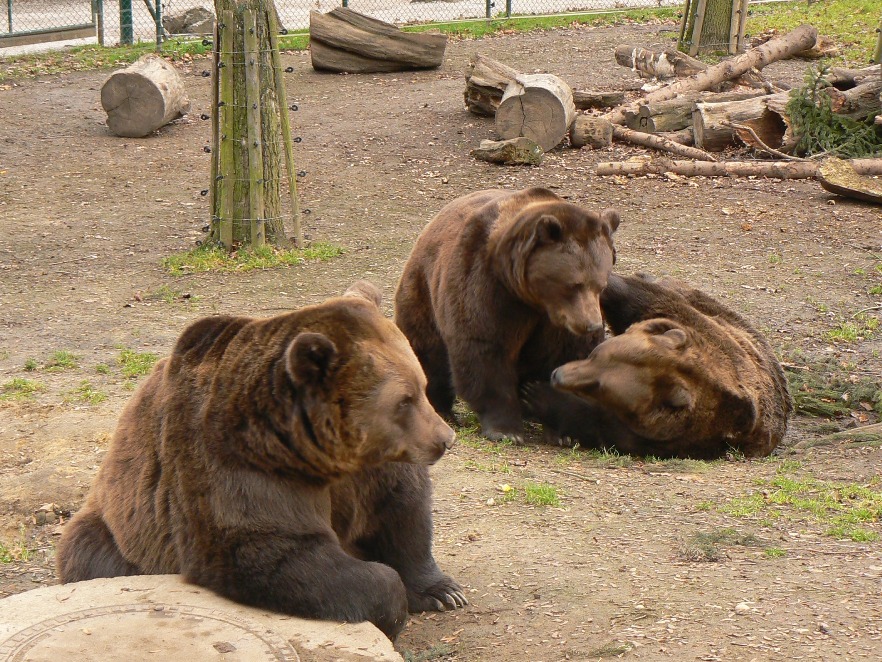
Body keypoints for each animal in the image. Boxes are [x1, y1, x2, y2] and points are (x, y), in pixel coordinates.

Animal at [53, 282, 468, 644]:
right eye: (404, 399)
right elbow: (272, 551)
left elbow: (403, 512)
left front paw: (443, 591)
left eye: (421, 385)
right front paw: (391, 603)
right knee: (89, 555)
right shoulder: (237, 467)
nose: (445, 439)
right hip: (118, 529)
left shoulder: (373, 470)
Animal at [392, 187, 620, 444]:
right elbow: (486, 349)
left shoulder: (556, 321)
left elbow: (564, 357)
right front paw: (506, 430)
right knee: (428, 351)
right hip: (423, 287)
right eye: (574, 284)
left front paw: (561, 431)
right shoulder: (486, 283)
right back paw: (441, 408)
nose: (592, 325)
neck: (533, 298)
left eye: (601, 284)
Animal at [524, 274, 792, 462]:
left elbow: (596, 424)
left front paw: (539, 395)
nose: (557, 376)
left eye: (598, 386)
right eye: (594, 355)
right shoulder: (669, 315)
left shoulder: (666, 435)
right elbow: (626, 292)